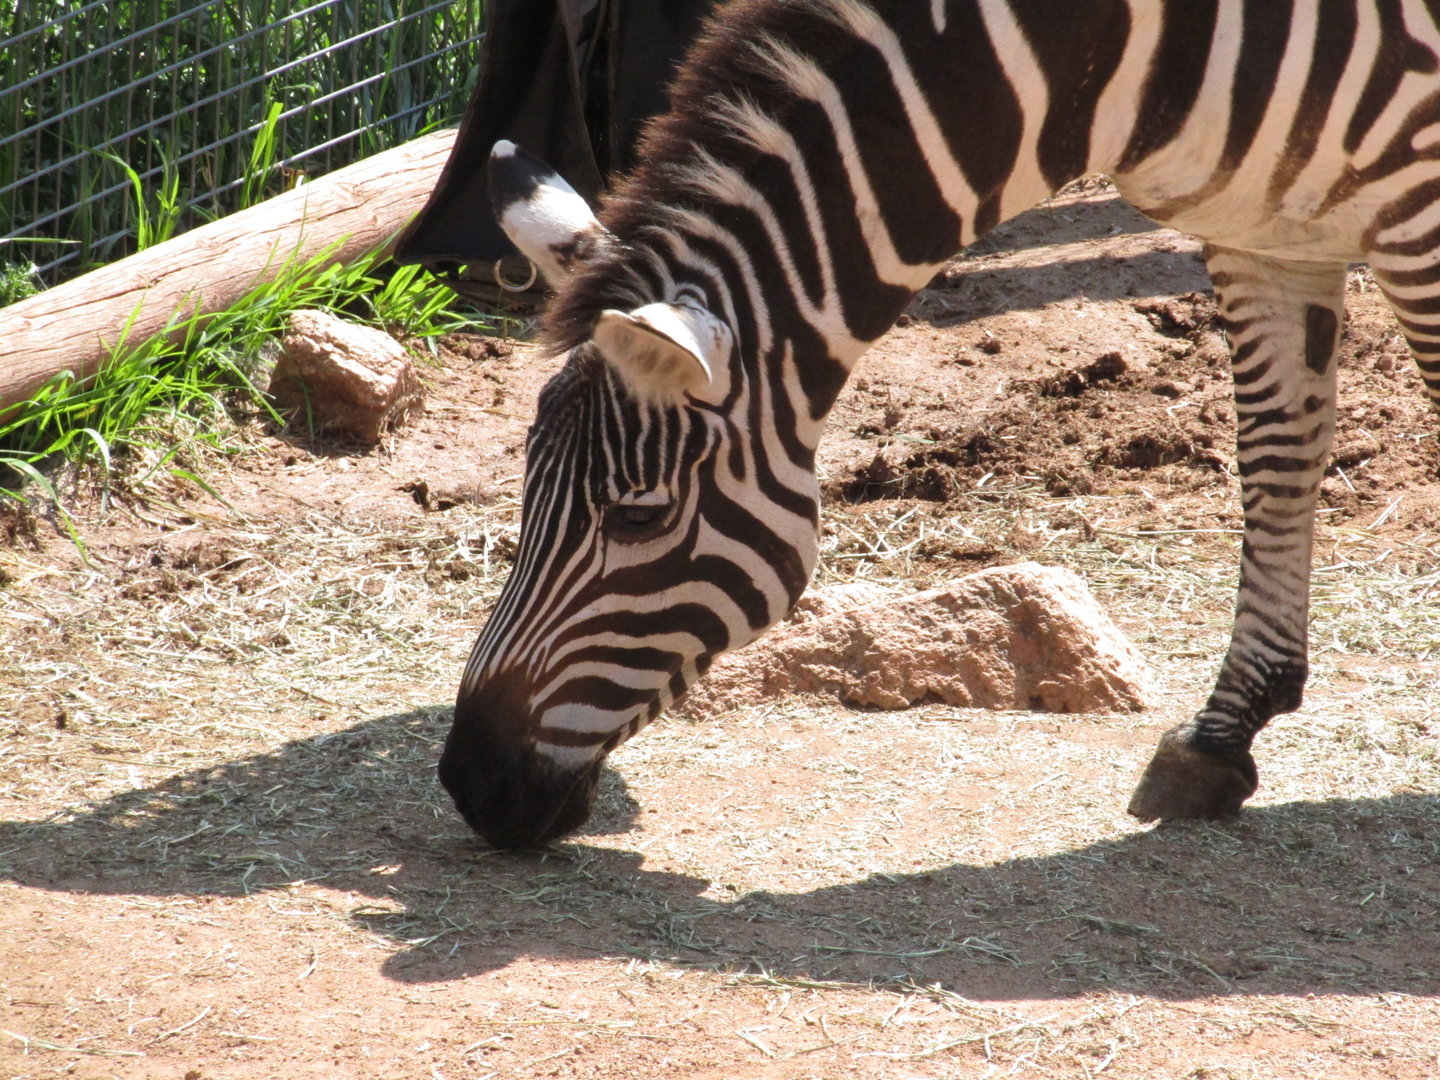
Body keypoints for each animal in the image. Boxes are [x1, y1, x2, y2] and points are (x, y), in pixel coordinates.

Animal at [439, 0, 1440, 849]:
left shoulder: (1415, 217)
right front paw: (1219, 740)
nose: (467, 781)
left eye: (638, 516)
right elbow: (1275, 461)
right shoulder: (1262, 228)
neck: (1114, 54)